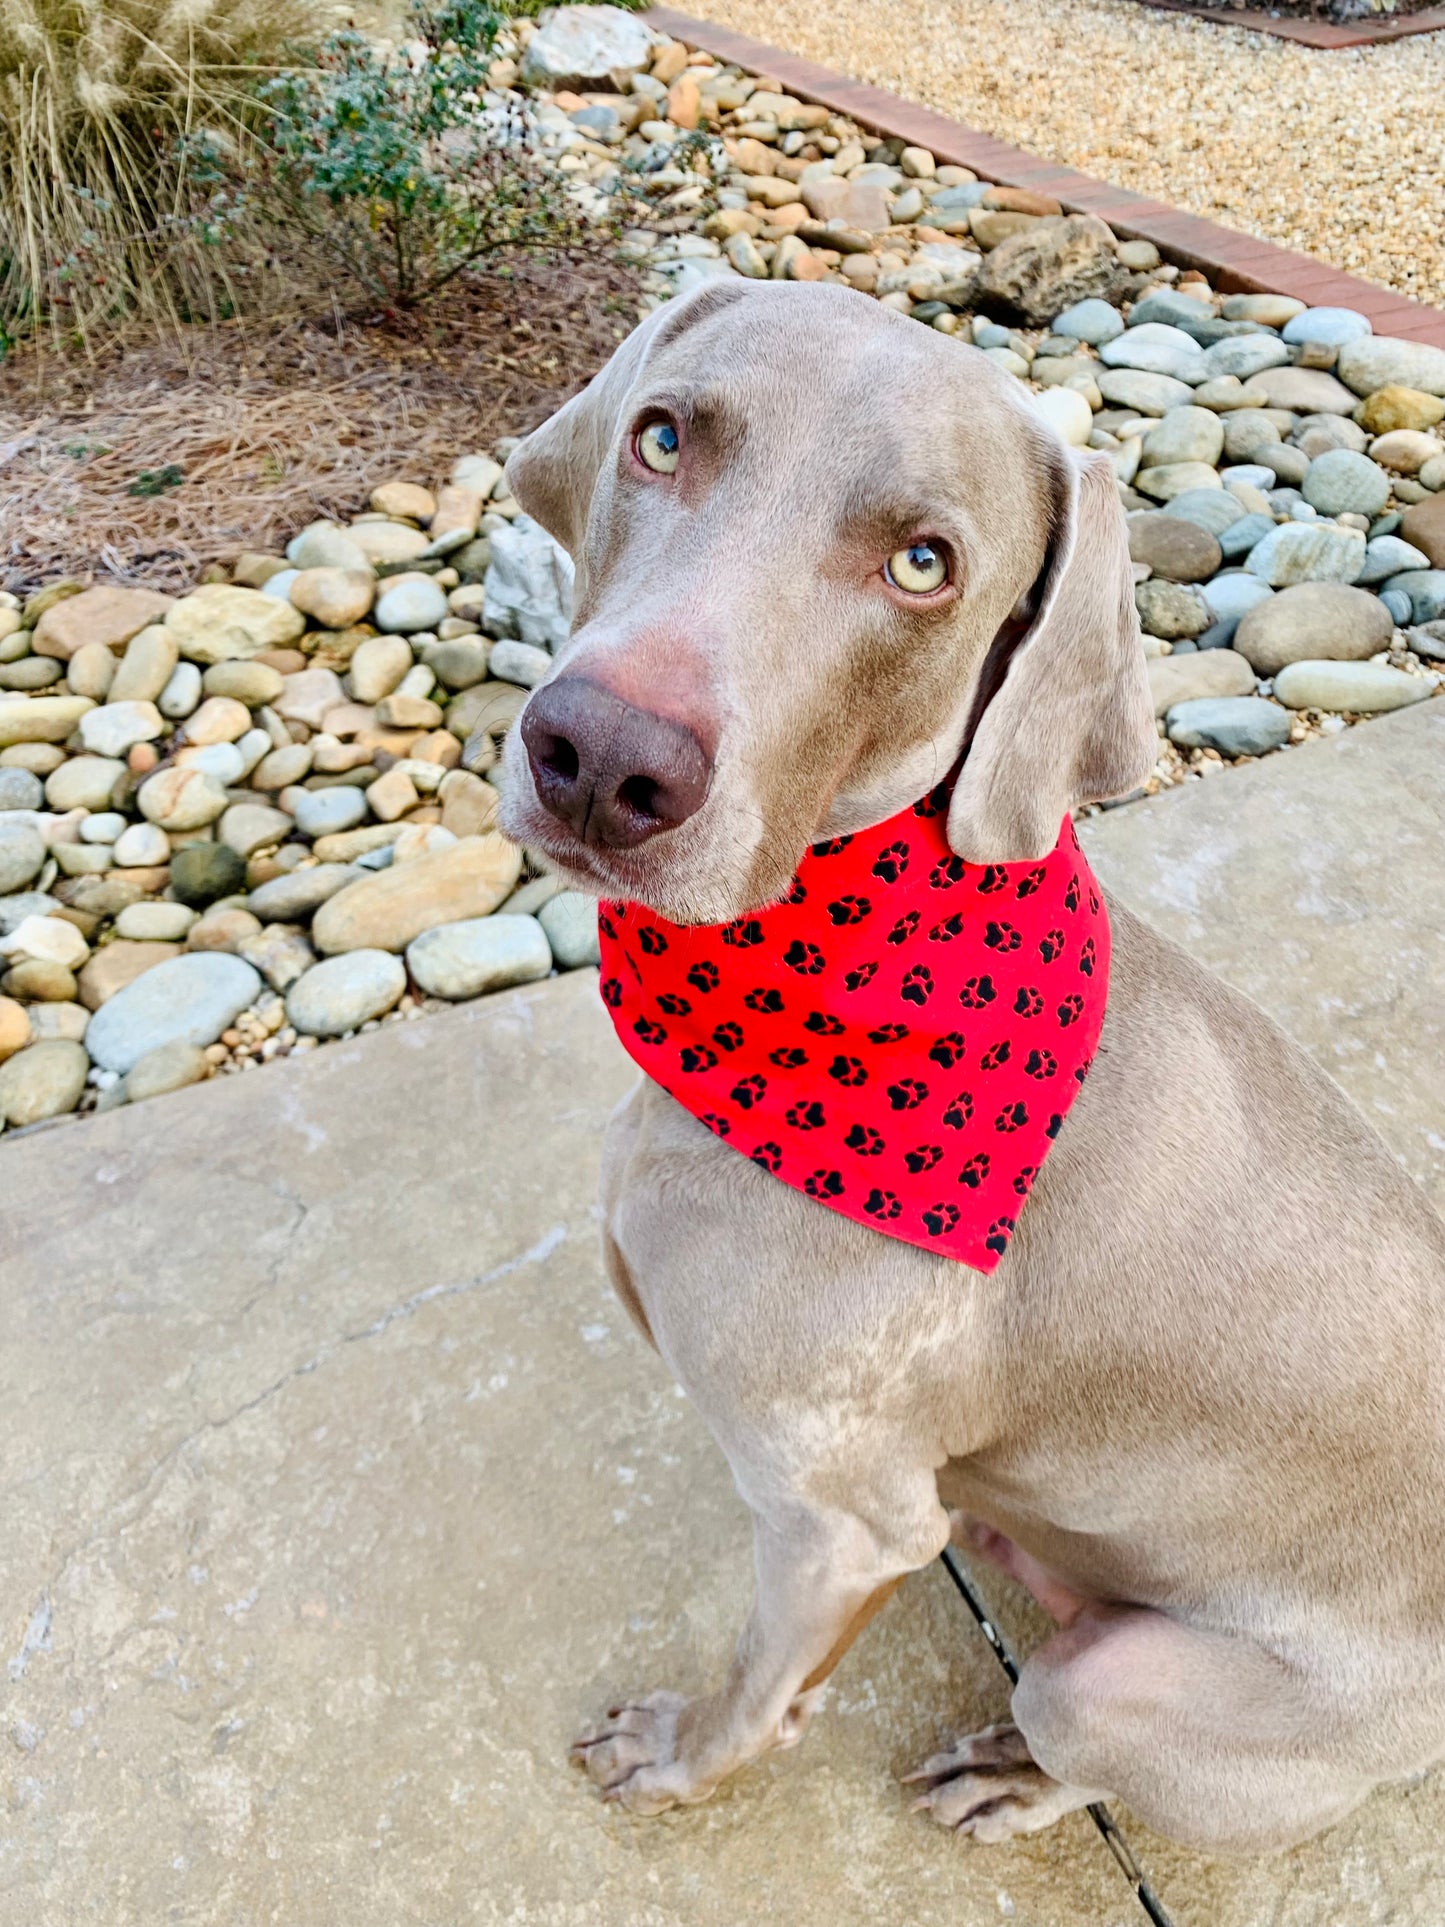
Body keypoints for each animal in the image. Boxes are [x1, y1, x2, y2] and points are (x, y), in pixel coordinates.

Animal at [497, 281, 1445, 1849]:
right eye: (662, 436)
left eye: (922, 565)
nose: (600, 757)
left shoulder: (839, 1520)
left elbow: (759, 1684)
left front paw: (681, 1755)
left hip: (1112, 1684)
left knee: (1074, 1732)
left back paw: (1007, 1772)